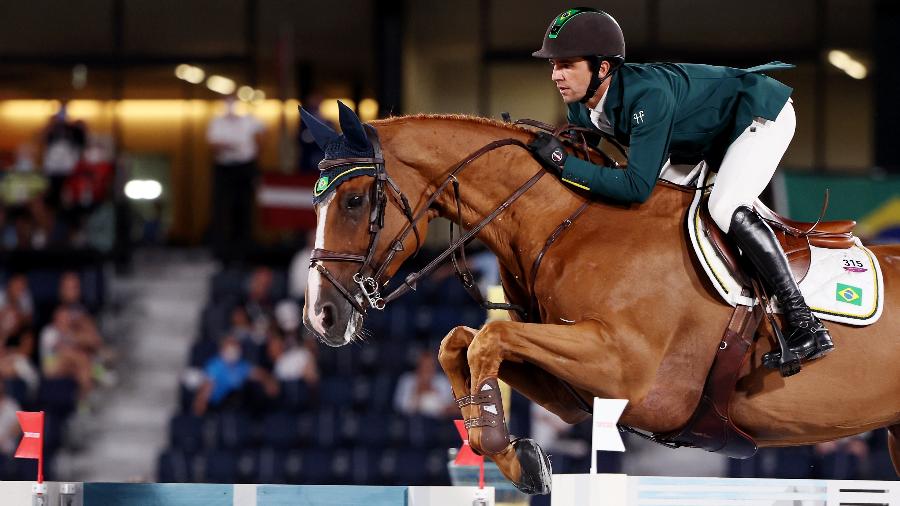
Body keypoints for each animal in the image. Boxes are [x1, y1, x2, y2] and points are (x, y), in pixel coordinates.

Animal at [302, 103, 900, 494]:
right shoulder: (574, 385)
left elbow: (488, 338)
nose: (320, 317)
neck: (571, 223)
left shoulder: (629, 375)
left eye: (354, 201)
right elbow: (461, 341)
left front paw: (507, 447)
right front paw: (514, 455)